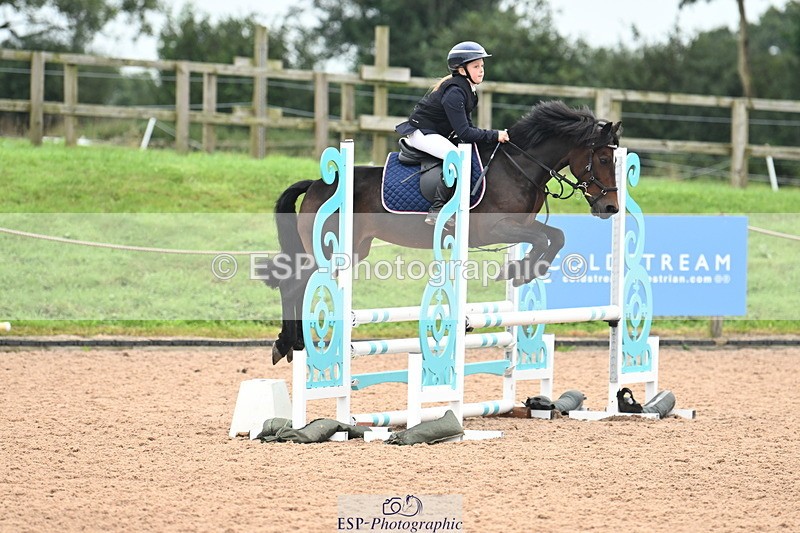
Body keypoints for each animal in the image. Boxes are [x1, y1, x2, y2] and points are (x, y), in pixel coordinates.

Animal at [261, 100, 622, 364]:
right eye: (603, 158)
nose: (611, 208)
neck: (519, 166)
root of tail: (317, 182)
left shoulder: (519, 224)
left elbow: (555, 236)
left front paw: (522, 271)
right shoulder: (496, 228)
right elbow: (542, 238)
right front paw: (518, 271)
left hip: (354, 249)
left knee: (298, 282)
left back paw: (292, 344)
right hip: (329, 249)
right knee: (293, 284)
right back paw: (288, 344)